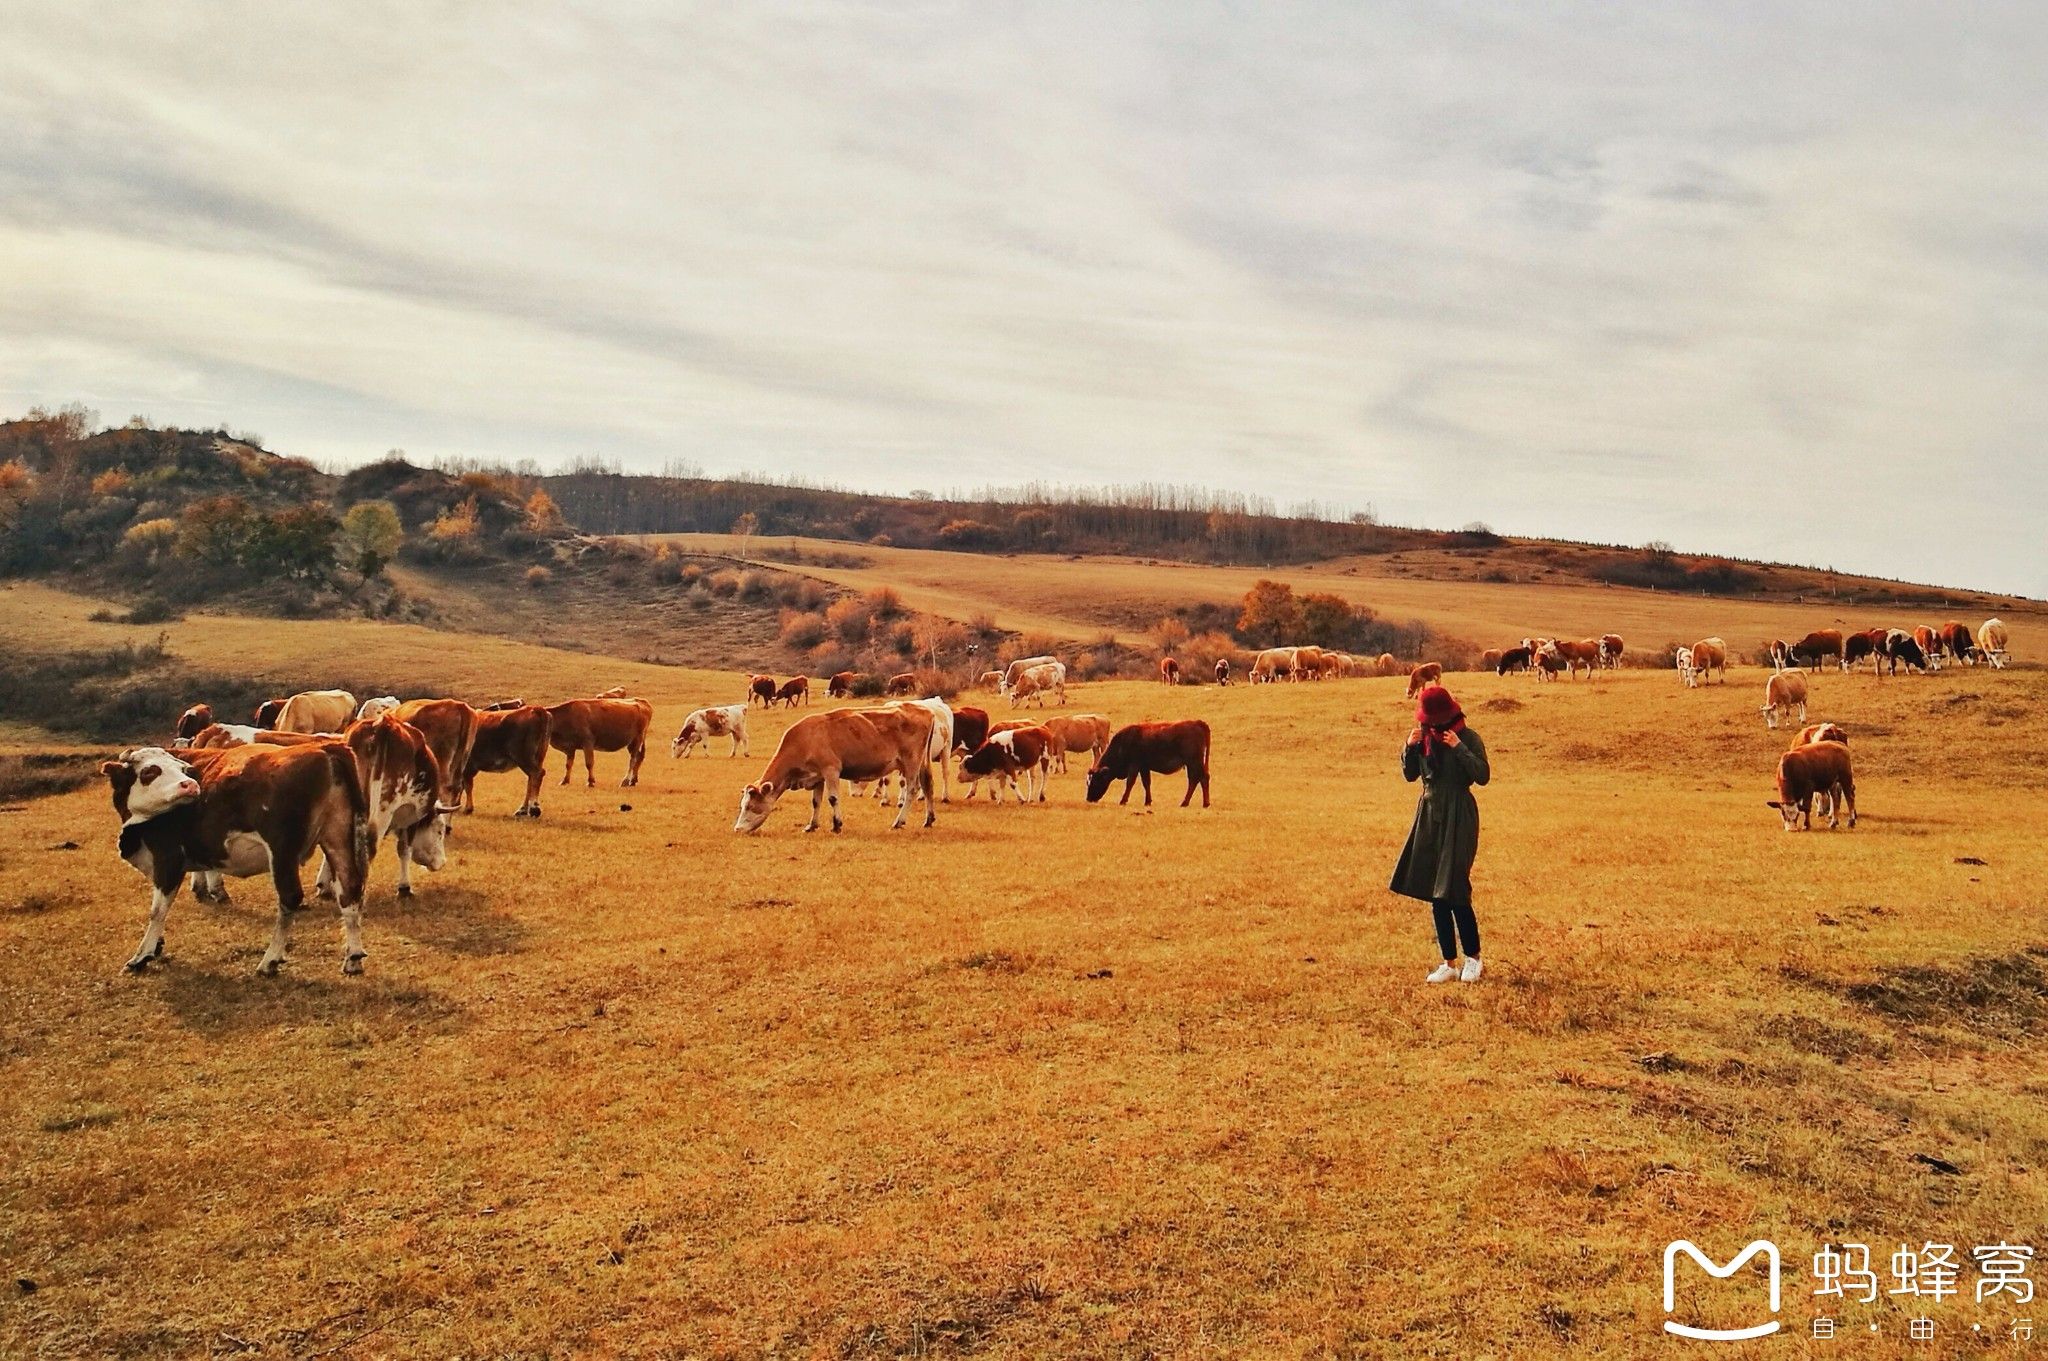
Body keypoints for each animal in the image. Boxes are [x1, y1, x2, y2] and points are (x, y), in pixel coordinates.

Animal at [100, 736, 372, 970]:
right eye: (150, 771)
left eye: (183, 770)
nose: (190, 785)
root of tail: (324, 749)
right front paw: (156, 946)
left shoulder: (169, 859)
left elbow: (157, 910)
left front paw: (142, 955)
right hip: (337, 838)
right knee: (349, 890)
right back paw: (353, 958)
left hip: (282, 852)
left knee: (290, 897)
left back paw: (270, 960)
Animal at [737, 704, 937, 835]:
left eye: (749, 806)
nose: (737, 828)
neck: (805, 739)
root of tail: (926, 711)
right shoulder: (817, 776)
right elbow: (816, 802)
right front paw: (812, 825)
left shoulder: (831, 770)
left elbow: (832, 799)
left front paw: (836, 825)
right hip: (920, 763)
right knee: (927, 786)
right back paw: (929, 819)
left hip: (911, 762)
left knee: (912, 789)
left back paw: (899, 821)